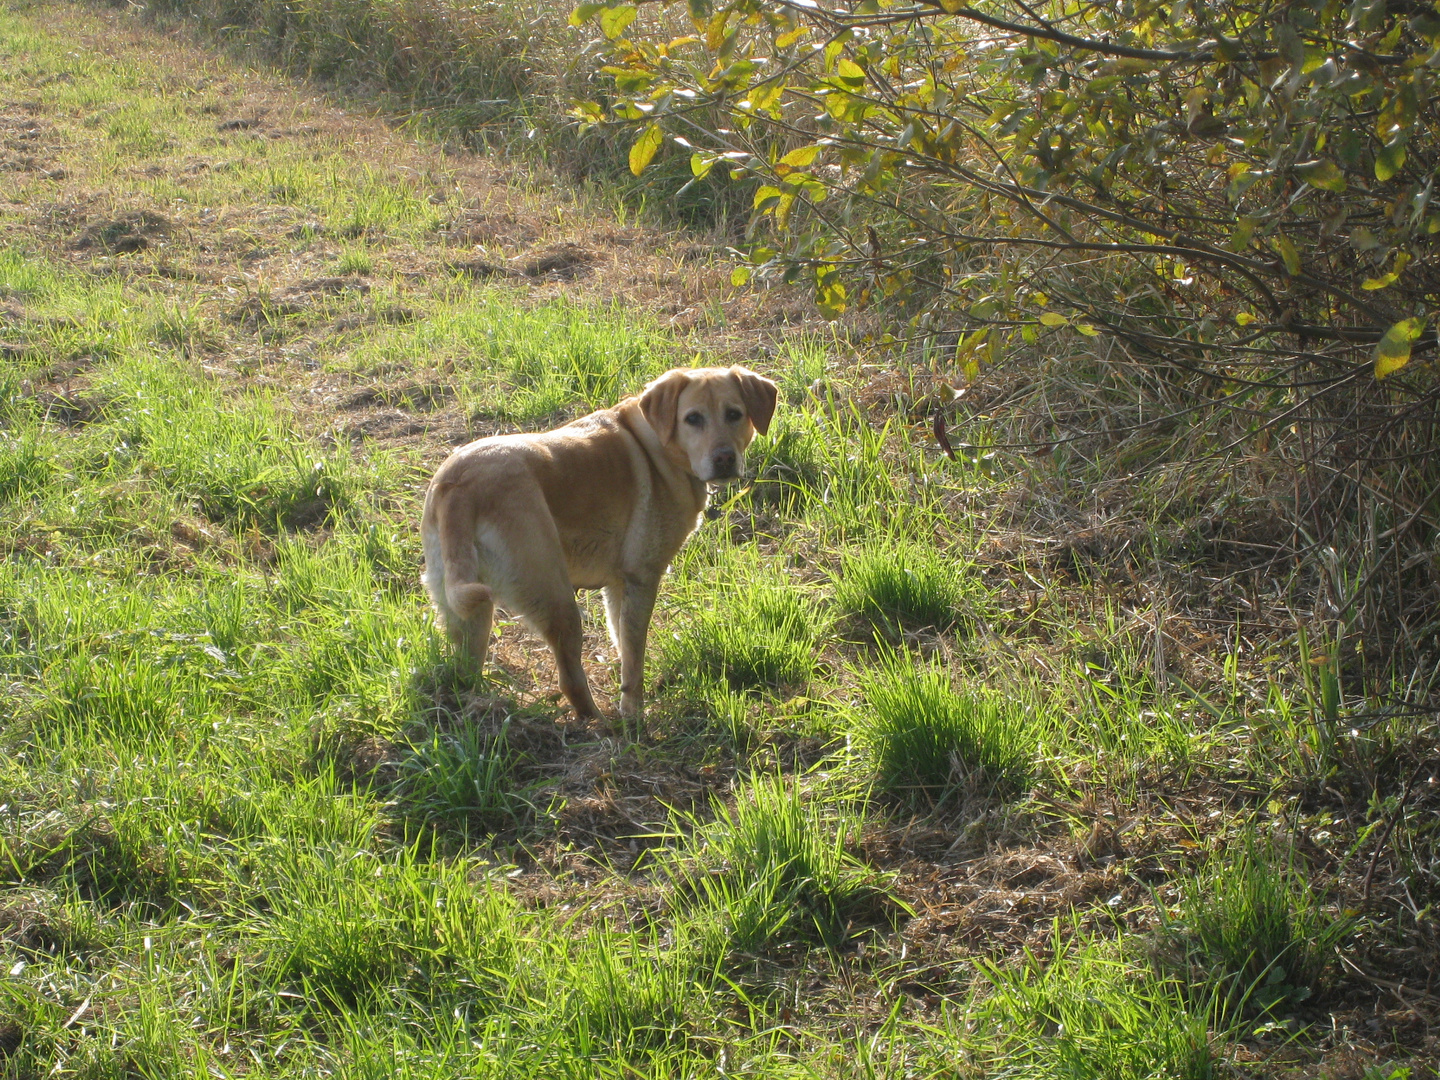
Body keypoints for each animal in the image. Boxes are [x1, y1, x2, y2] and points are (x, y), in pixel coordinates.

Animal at [420, 368, 777, 722]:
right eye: (693, 418)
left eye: (734, 414)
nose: (725, 458)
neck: (658, 446)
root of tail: (458, 486)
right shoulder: (641, 578)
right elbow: (633, 657)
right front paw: (633, 713)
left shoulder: (617, 585)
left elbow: (621, 642)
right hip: (555, 597)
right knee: (569, 680)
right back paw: (598, 722)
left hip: (467, 610)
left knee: (464, 673)